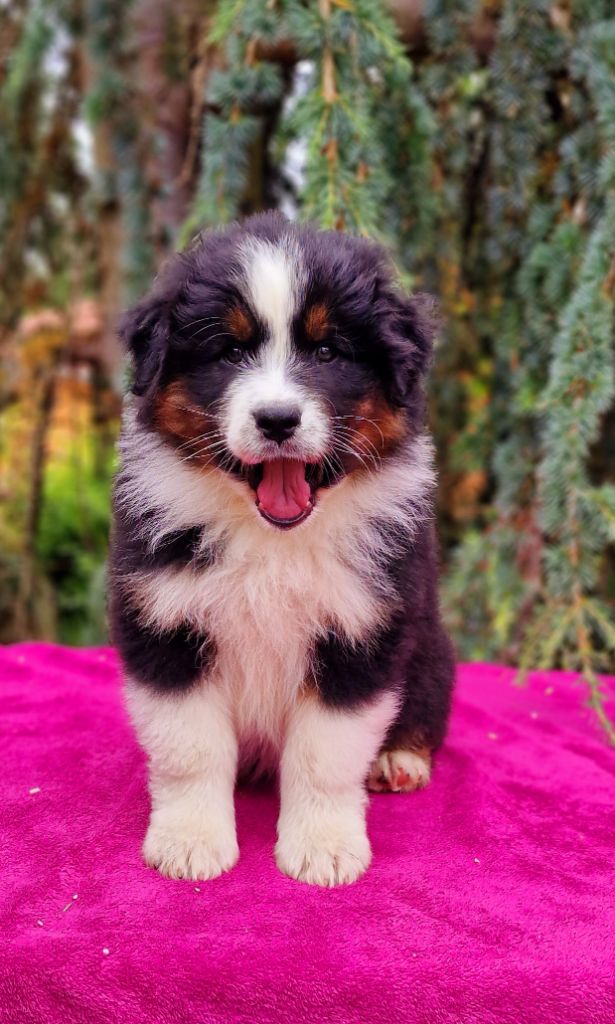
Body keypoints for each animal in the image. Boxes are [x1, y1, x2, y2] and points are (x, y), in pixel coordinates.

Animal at [109, 212, 454, 887]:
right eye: (230, 351)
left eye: (326, 351)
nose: (277, 420)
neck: (271, 539)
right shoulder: (165, 622)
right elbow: (191, 748)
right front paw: (191, 842)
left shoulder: (359, 630)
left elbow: (325, 755)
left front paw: (323, 849)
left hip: (428, 647)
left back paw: (400, 759)